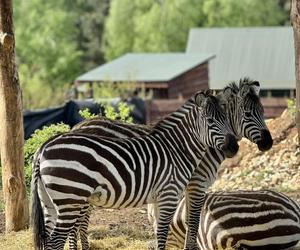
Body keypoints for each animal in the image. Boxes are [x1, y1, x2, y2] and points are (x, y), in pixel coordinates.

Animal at [36, 78, 274, 250]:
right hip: (74, 194)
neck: (181, 147)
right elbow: (191, 222)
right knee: (71, 229)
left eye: (263, 112)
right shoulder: (195, 185)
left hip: (59, 198)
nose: (269, 143)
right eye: (248, 114)